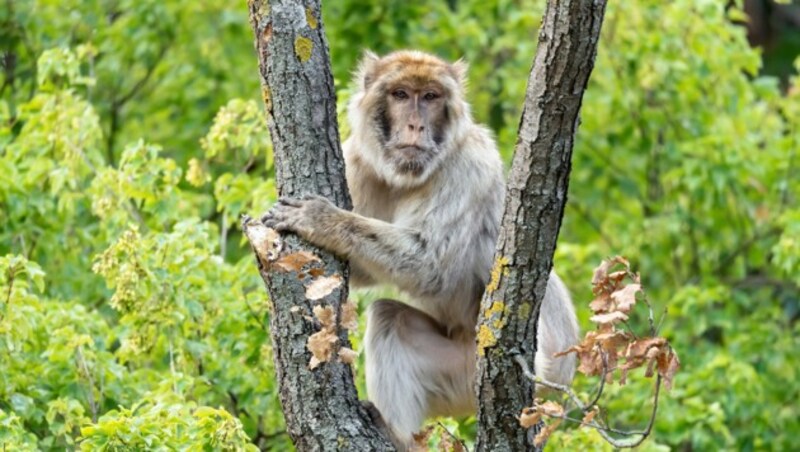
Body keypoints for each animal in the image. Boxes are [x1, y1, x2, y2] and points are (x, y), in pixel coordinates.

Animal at [262, 50, 580, 448]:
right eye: (400, 94)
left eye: (430, 97)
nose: (415, 125)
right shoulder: (359, 161)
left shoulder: (467, 167)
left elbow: (431, 266)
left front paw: (320, 218)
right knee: (390, 318)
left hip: (487, 368)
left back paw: (396, 437)